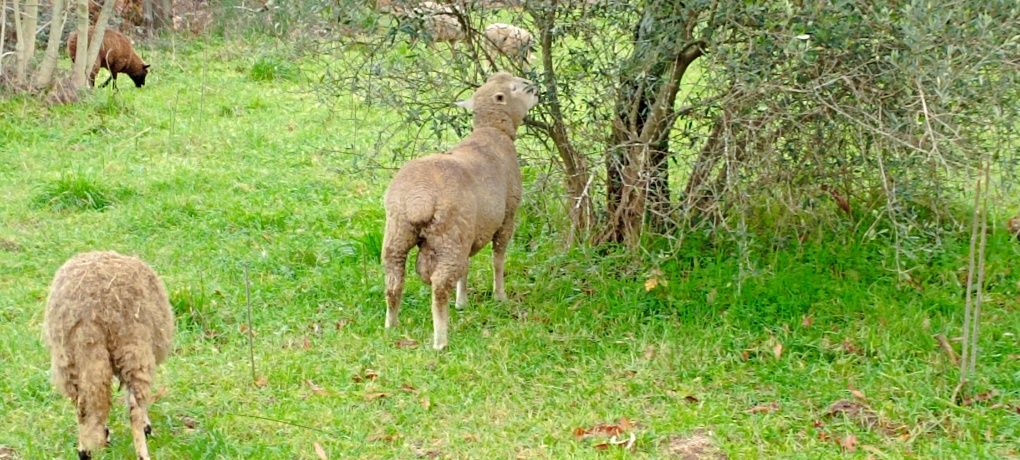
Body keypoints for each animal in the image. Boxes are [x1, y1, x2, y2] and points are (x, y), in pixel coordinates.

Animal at [42, 251, 175, 460]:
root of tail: (89, 312)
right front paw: (146, 428)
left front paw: (104, 435)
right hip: (133, 348)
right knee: (134, 408)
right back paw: (142, 452)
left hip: (70, 356)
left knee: (84, 403)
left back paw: (84, 450)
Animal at [383, 71, 542, 348]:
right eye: (515, 88)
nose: (536, 89)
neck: (493, 131)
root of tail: (418, 198)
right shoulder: (507, 216)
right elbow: (498, 260)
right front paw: (499, 295)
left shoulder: (470, 231)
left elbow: (466, 268)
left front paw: (462, 301)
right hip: (449, 236)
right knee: (438, 287)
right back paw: (440, 340)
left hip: (399, 233)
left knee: (394, 282)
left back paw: (391, 325)